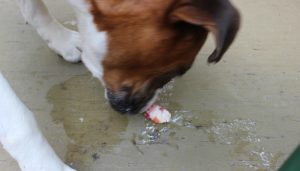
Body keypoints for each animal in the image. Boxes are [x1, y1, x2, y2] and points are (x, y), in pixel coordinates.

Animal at [0, 0, 239, 170]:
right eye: (174, 72)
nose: (140, 109)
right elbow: (19, 122)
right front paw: (47, 165)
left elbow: (34, 8)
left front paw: (60, 39)